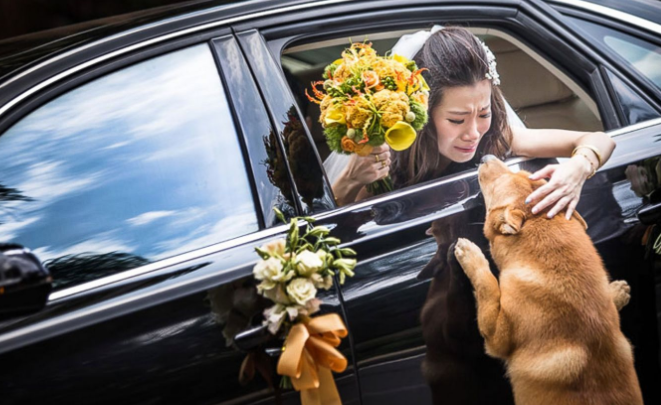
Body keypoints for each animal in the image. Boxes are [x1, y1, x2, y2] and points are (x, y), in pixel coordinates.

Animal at [454, 155, 640, 404]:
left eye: (495, 184)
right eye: (521, 174)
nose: (485, 157)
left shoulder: (496, 336)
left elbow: (487, 283)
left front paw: (470, 255)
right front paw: (617, 292)